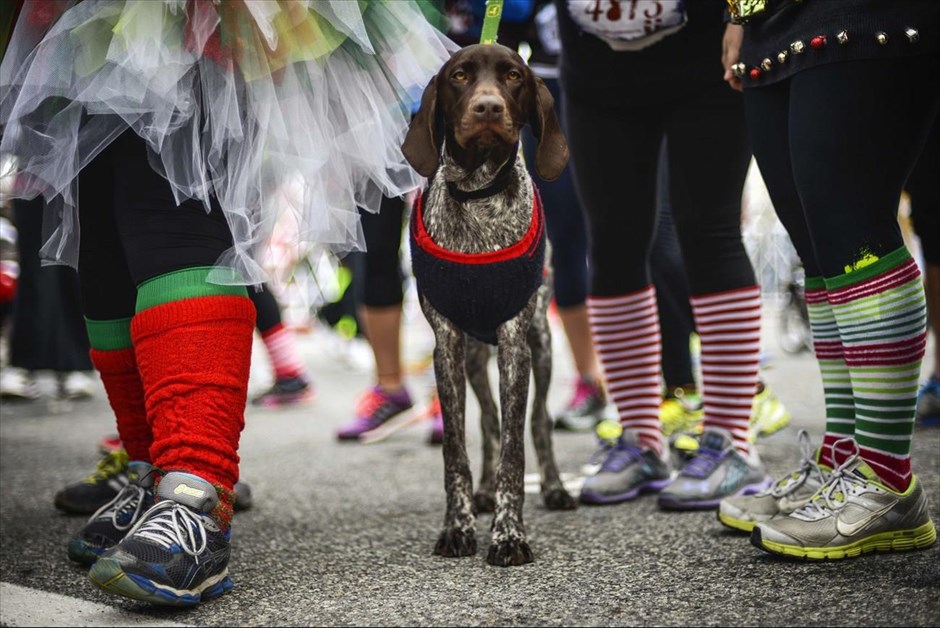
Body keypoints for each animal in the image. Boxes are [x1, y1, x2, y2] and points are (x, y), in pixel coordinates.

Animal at [402, 41, 572, 568]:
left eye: (514, 76)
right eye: (459, 76)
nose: (488, 108)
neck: (478, 197)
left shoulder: (516, 340)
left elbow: (516, 450)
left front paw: (509, 535)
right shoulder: (447, 344)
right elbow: (456, 446)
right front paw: (458, 526)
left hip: (542, 345)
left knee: (538, 422)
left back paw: (555, 488)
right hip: (477, 357)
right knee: (488, 419)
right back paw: (480, 493)